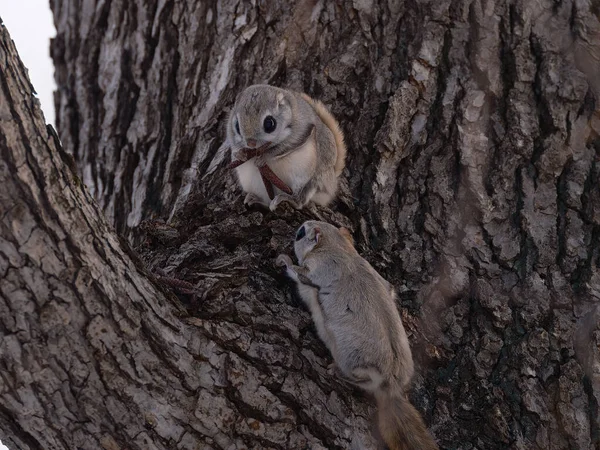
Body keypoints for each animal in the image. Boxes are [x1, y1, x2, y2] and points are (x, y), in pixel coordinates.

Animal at [278, 223, 440, 450]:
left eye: (301, 233)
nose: (300, 226)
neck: (341, 249)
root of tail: (390, 387)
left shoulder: (318, 268)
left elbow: (300, 273)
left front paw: (284, 259)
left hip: (354, 361)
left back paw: (338, 371)